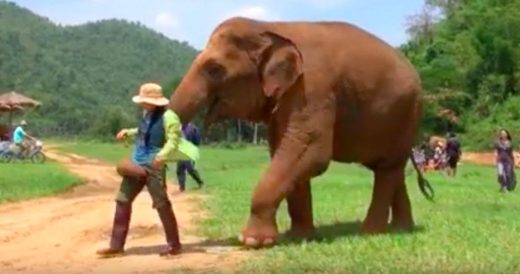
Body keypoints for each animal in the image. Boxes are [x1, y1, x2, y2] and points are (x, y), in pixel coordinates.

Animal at [169, 17, 432, 248]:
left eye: (215, 69)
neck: (271, 27)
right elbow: (287, 152)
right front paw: (299, 236)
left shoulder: (313, 87)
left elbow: (310, 151)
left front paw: (252, 242)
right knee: (391, 169)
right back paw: (401, 229)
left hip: (408, 114)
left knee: (386, 171)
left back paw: (370, 232)